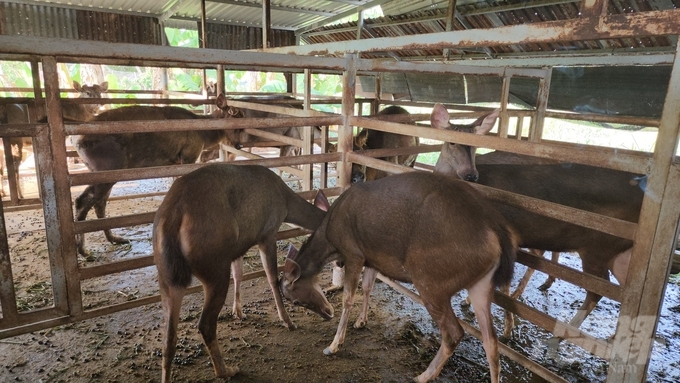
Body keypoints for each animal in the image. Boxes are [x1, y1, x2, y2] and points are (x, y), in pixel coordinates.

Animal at [73, 93, 244, 258]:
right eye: (235, 117)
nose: (240, 145)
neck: (205, 134)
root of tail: (77, 142)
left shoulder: (176, 162)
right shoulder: (189, 156)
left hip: (105, 173)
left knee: (99, 203)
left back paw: (115, 239)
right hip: (107, 169)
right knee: (82, 201)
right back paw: (84, 251)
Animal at [157, 164, 332, 382]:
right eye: (297, 300)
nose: (328, 312)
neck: (286, 203)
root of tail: (173, 218)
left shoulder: (237, 247)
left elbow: (239, 273)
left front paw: (238, 311)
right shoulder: (267, 232)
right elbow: (271, 276)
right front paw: (287, 321)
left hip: (167, 275)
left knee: (168, 336)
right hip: (214, 267)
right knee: (205, 324)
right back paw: (226, 370)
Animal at [278, 172, 516, 383]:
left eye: (294, 300)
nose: (327, 313)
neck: (332, 240)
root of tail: (498, 235)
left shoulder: (354, 253)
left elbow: (348, 297)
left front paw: (334, 344)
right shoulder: (372, 258)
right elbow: (368, 287)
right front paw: (361, 321)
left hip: (431, 281)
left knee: (454, 332)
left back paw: (423, 375)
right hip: (481, 283)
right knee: (491, 341)